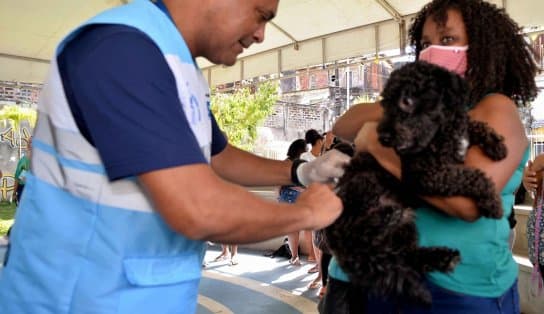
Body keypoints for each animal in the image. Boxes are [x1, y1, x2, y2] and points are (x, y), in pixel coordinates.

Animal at [324, 62, 506, 306]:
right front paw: (492, 202)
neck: (440, 132)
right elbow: (470, 176)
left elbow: (473, 124)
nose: (383, 137)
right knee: (366, 230)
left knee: (407, 256)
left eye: (406, 101)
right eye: (384, 103)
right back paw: (386, 216)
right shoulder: (424, 176)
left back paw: (441, 256)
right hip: (365, 184)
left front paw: (496, 144)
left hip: (405, 230)